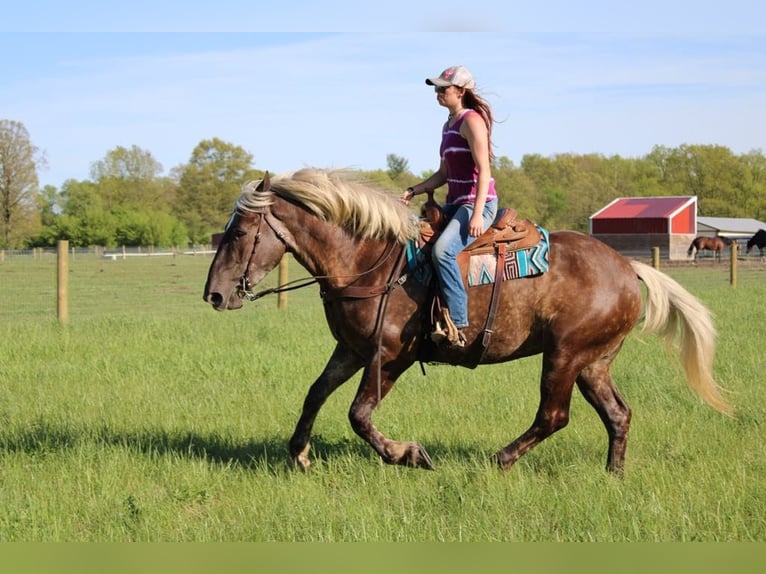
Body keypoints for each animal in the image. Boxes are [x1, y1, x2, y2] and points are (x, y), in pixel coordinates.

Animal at [202, 170, 732, 476]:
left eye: (241, 232)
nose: (215, 294)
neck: (368, 261)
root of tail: (628, 267)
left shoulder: (391, 356)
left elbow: (358, 415)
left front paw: (408, 454)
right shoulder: (351, 350)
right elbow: (315, 393)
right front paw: (299, 453)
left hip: (565, 356)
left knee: (553, 415)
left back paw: (500, 459)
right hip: (593, 363)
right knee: (617, 414)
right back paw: (612, 475)